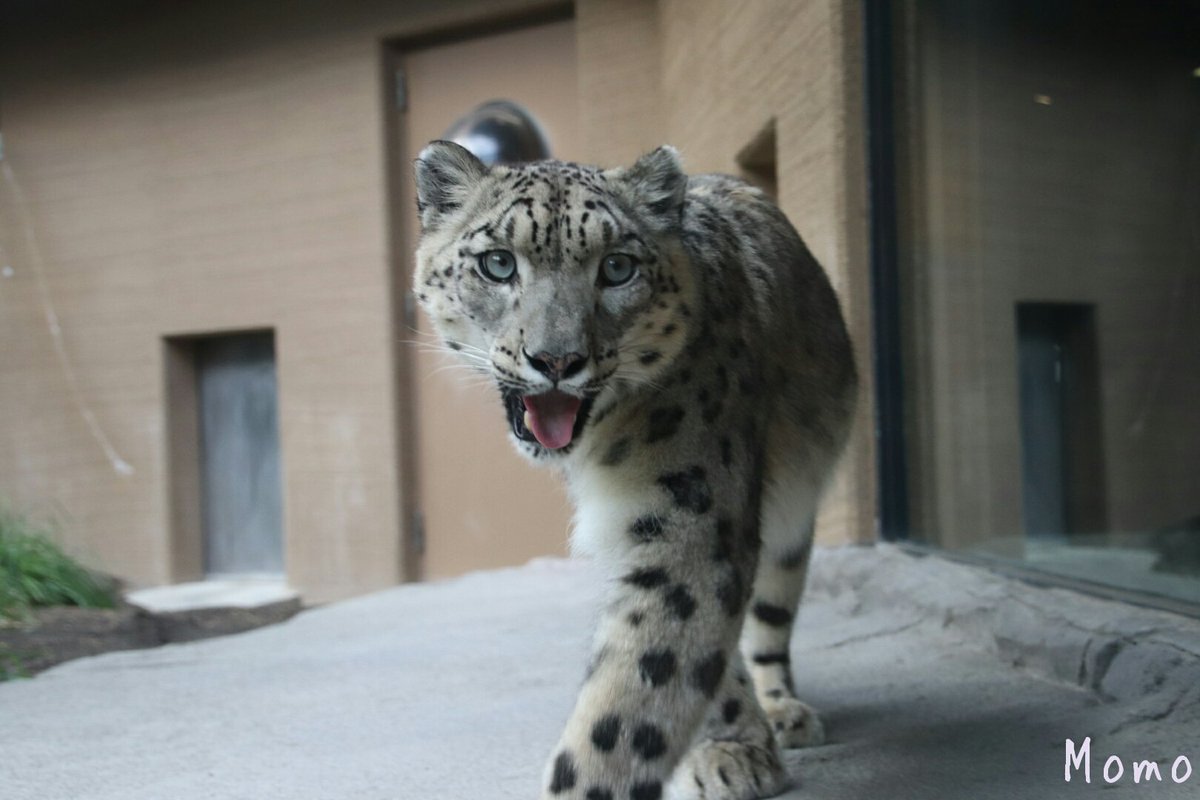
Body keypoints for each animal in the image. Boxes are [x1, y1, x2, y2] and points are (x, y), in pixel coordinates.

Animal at [417, 142, 859, 800]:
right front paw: (731, 747)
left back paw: (785, 710)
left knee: (772, 612)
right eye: (498, 263)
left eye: (618, 267)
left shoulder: (693, 518)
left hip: (792, 517)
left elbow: (633, 701)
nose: (556, 360)